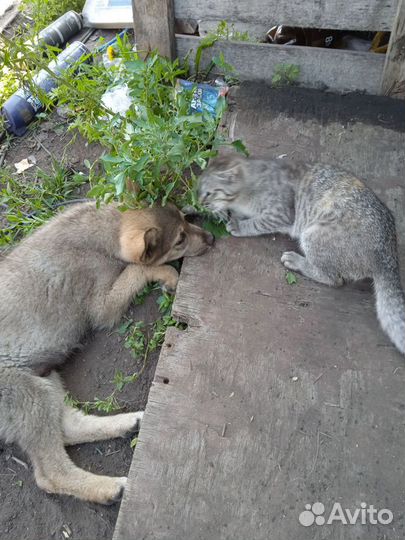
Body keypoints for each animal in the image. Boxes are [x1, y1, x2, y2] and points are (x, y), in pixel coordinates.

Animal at [0, 200, 215, 504]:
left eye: (186, 221)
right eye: (179, 240)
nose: (212, 238)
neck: (104, 231)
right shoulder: (103, 306)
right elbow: (135, 269)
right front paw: (168, 274)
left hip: (44, 379)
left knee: (68, 428)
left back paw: (127, 423)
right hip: (26, 393)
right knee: (50, 474)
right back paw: (110, 488)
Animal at [198, 154, 404, 354]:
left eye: (209, 193)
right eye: (198, 189)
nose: (199, 202)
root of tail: (389, 255)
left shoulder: (280, 214)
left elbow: (256, 223)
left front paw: (239, 225)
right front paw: (229, 215)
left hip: (313, 235)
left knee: (334, 278)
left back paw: (296, 261)